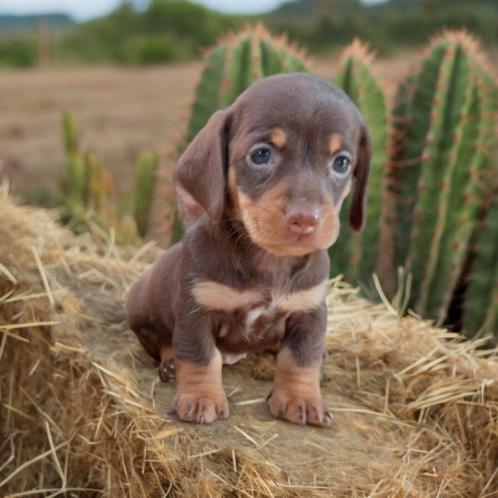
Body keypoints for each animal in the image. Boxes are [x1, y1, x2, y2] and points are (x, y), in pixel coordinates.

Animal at [127, 72, 370, 426]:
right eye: (261, 155)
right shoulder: (196, 307)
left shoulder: (309, 310)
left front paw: (300, 398)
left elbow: (301, 358)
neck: (270, 261)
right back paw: (170, 362)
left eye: (341, 163)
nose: (305, 219)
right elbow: (200, 355)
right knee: (164, 342)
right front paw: (200, 397)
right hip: (141, 308)